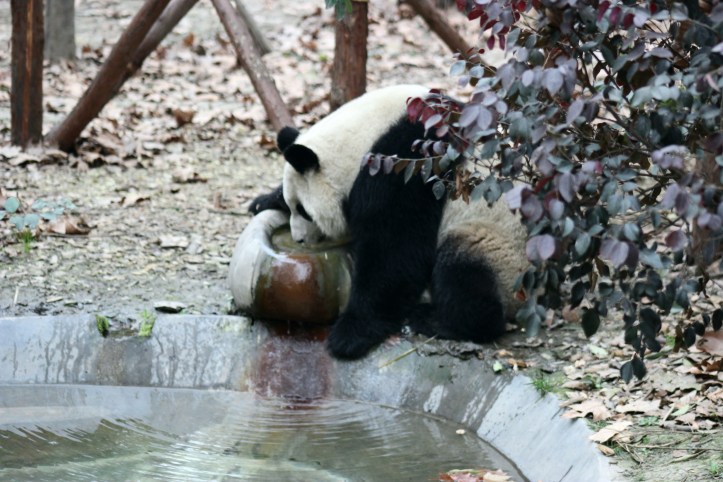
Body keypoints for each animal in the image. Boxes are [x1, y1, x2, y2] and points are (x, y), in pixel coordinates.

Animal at [250, 84, 528, 360]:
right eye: (292, 206)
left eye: (305, 211)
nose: (298, 239)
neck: (365, 134)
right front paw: (263, 201)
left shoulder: (406, 166)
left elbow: (396, 250)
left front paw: (350, 333)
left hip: (500, 247)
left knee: (464, 268)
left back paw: (434, 319)